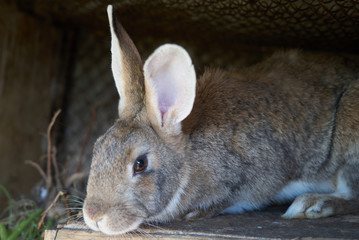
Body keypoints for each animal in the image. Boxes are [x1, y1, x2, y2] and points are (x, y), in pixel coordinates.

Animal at [83, 4, 359, 235]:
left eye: (140, 164)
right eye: (97, 148)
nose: (94, 216)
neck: (190, 155)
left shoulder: (255, 177)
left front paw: (193, 213)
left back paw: (313, 204)